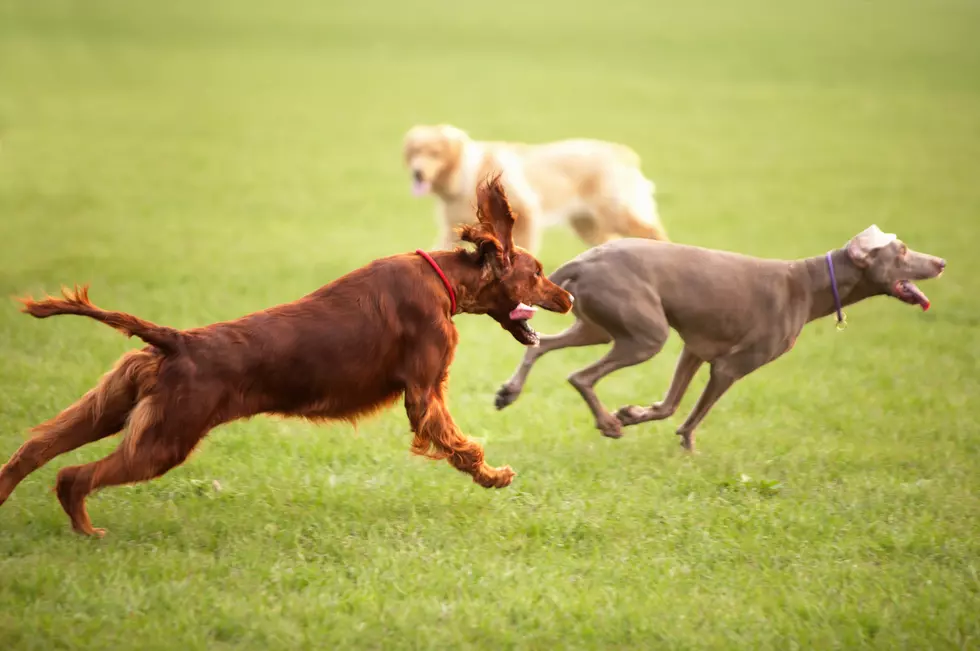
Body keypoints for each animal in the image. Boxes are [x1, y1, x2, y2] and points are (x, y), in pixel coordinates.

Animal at [0, 176, 576, 536]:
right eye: (538, 272)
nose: (568, 297)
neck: (444, 279)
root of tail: (176, 340)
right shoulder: (424, 393)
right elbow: (461, 446)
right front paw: (495, 476)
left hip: (116, 406)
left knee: (34, 450)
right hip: (164, 440)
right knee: (72, 476)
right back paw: (86, 529)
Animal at [402, 125, 668, 255]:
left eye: (434, 153)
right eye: (415, 151)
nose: (417, 173)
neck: (469, 173)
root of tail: (621, 152)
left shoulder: (525, 214)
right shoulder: (451, 229)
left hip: (617, 214)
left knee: (654, 231)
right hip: (588, 225)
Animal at [494, 227, 944, 450]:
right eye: (904, 251)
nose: (941, 262)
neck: (808, 282)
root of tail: (585, 259)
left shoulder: (695, 349)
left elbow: (669, 405)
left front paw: (636, 413)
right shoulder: (731, 366)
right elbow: (692, 415)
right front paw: (686, 445)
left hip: (600, 326)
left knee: (542, 345)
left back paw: (509, 392)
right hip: (645, 335)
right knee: (580, 376)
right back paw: (607, 424)